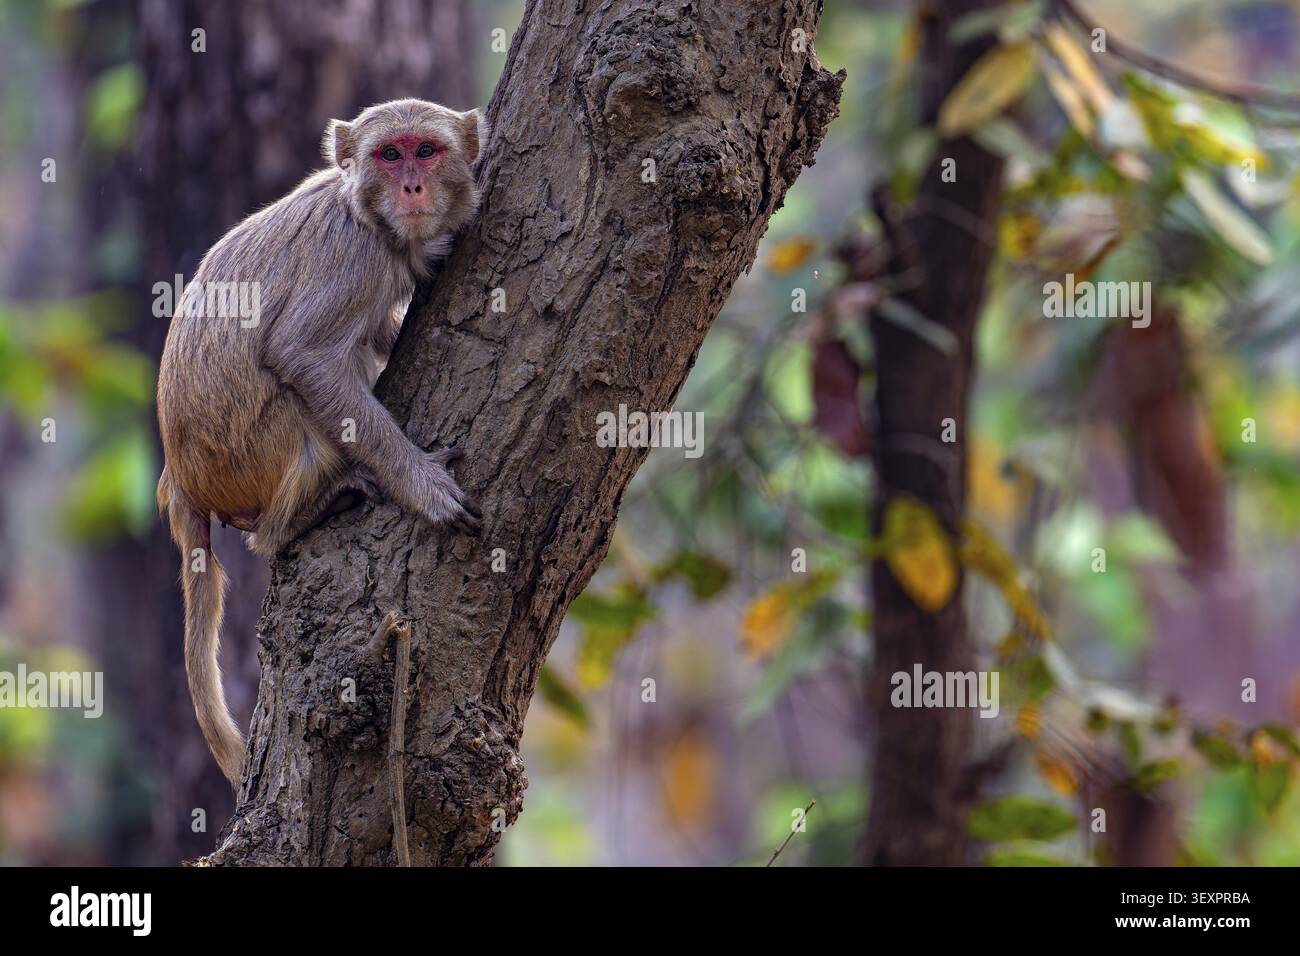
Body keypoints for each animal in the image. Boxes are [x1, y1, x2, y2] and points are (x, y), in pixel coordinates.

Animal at [155, 99, 486, 787]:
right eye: (390, 155)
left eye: (427, 151)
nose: (411, 187)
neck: (371, 218)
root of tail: (181, 480)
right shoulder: (356, 261)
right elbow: (301, 354)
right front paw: (420, 484)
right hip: (244, 453)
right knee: (300, 434)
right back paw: (298, 519)